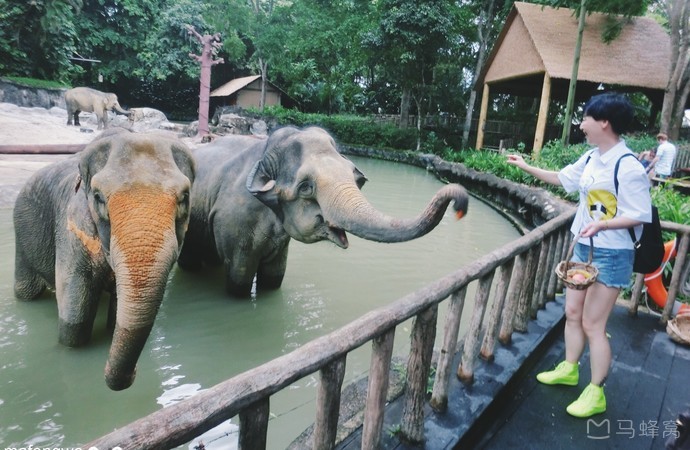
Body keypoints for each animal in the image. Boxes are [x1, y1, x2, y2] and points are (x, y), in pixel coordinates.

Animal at [14, 127, 196, 390]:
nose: (134, 373)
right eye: (98, 197)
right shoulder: (71, 229)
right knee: (26, 290)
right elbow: (74, 323)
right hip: (22, 231)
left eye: (184, 197)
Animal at [177, 125, 468, 298]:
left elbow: (274, 278)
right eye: (306, 187)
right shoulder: (235, 223)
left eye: (358, 179)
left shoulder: (280, 242)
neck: (265, 152)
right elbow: (239, 280)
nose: (460, 205)